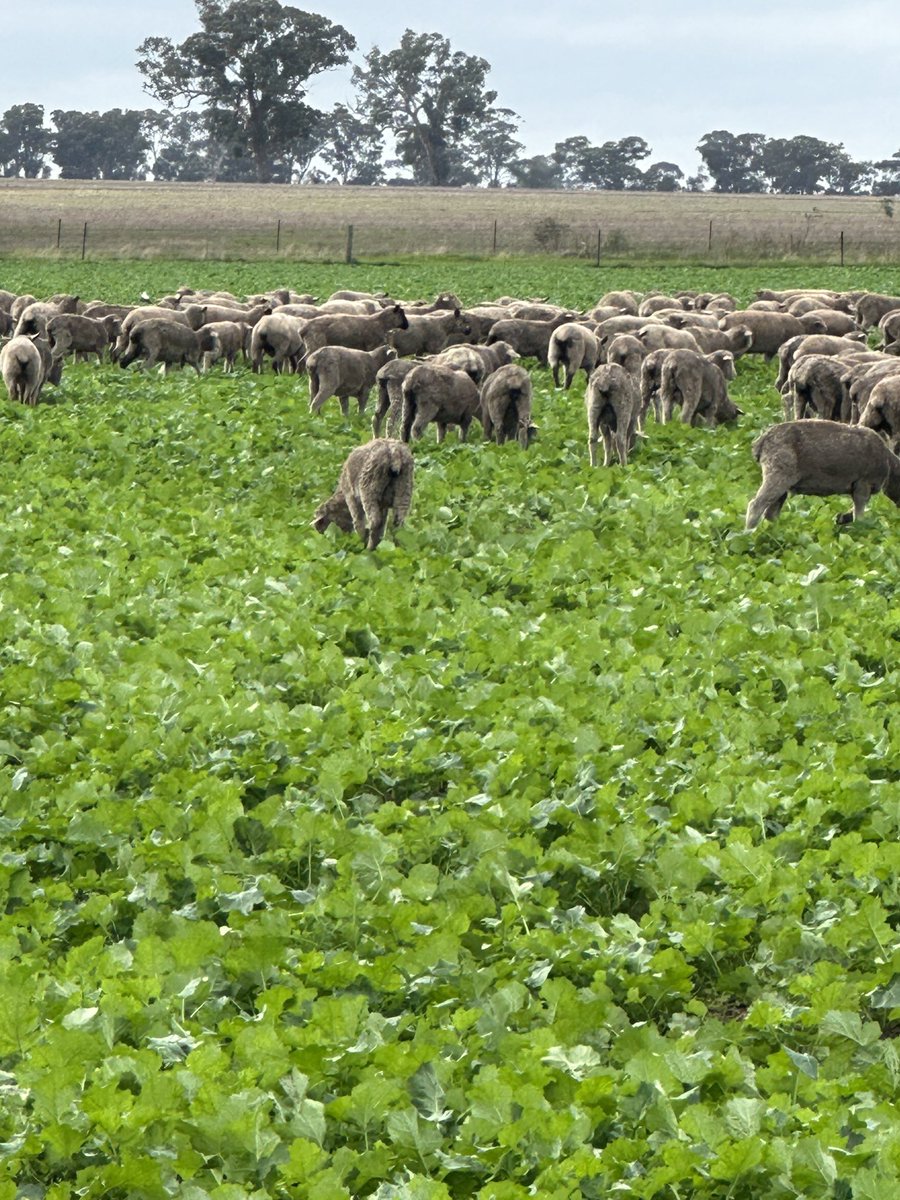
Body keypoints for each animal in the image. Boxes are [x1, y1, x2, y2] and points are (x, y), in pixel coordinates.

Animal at [748, 420, 900, 528]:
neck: (890, 468)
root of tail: (760, 443)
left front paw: (840, 518)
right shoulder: (863, 484)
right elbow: (859, 516)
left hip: (782, 483)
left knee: (771, 513)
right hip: (778, 474)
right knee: (755, 505)